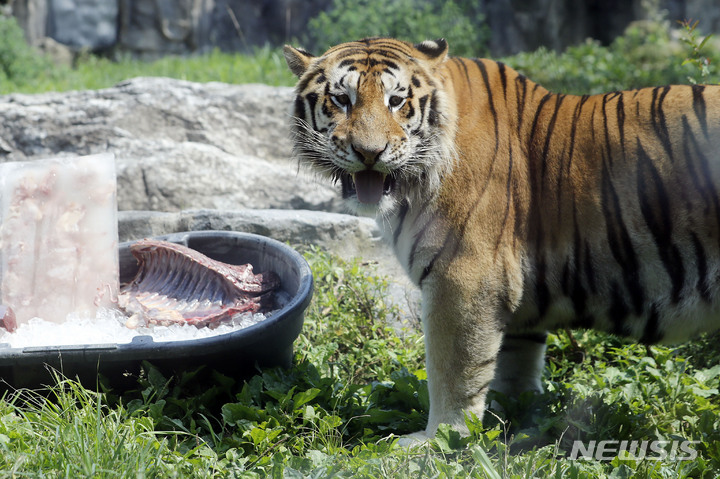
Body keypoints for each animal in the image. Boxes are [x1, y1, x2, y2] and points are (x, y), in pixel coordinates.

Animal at [282, 38, 720, 446]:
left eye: (396, 101)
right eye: (342, 99)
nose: (369, 153)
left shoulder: (463, 276)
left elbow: (453, 368)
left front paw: (440, 438)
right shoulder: (516, 296)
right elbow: (511, 363)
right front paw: (509, 422)